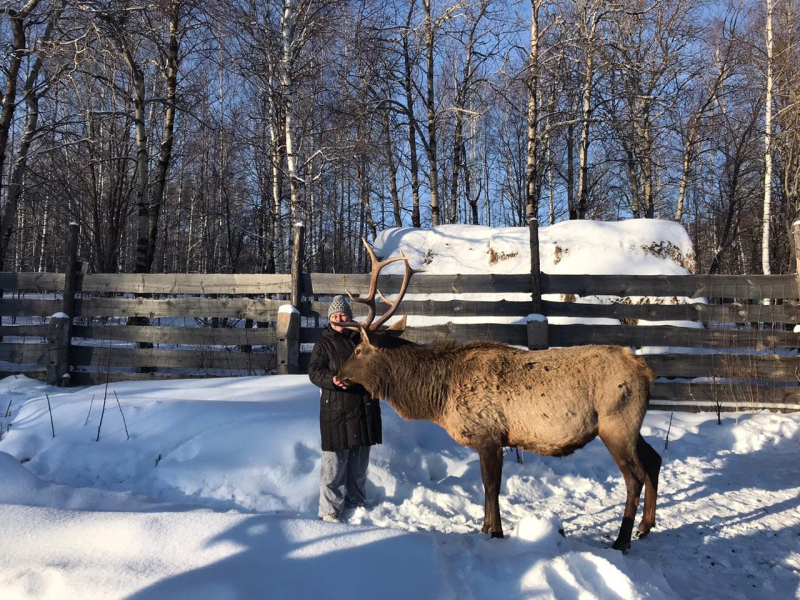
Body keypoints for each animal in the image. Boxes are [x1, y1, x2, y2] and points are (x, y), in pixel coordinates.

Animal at [338, 241, 664, 552]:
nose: (338, 376)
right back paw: (645, 527)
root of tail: (647, 371)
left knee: (634, 477)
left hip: (616, 423)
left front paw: (494, 531)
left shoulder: (489, 434)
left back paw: (622, 541)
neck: (438, 400)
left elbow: (491, 486)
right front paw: (485, 528)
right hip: (630, 425)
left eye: (358, 350)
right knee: (654, 458)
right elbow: (487, 488)